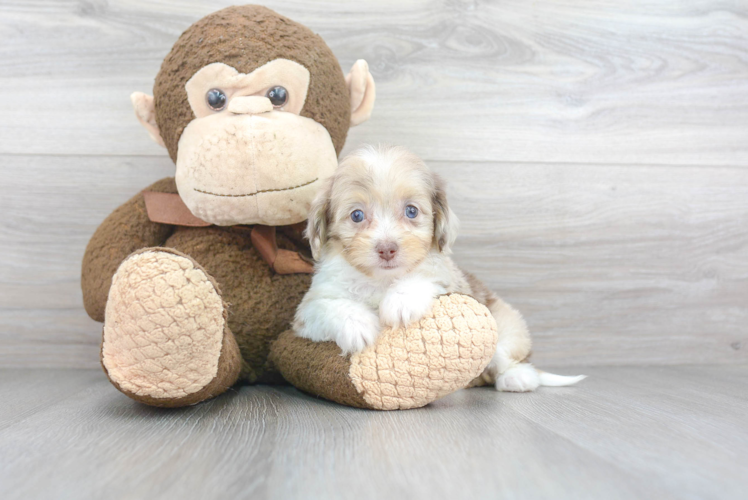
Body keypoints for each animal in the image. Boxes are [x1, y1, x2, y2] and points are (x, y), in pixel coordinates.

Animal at [292, 145, 584, 390]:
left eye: (411, 211)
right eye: (356, 215)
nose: (387, 249)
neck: (381, 280)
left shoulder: (449, 279)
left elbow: (425, 276)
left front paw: (401, 301)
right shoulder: (306, 313)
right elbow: (327, 306)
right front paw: (357, 325)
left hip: (506, 326)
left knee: (504, 358)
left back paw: (517, 377)